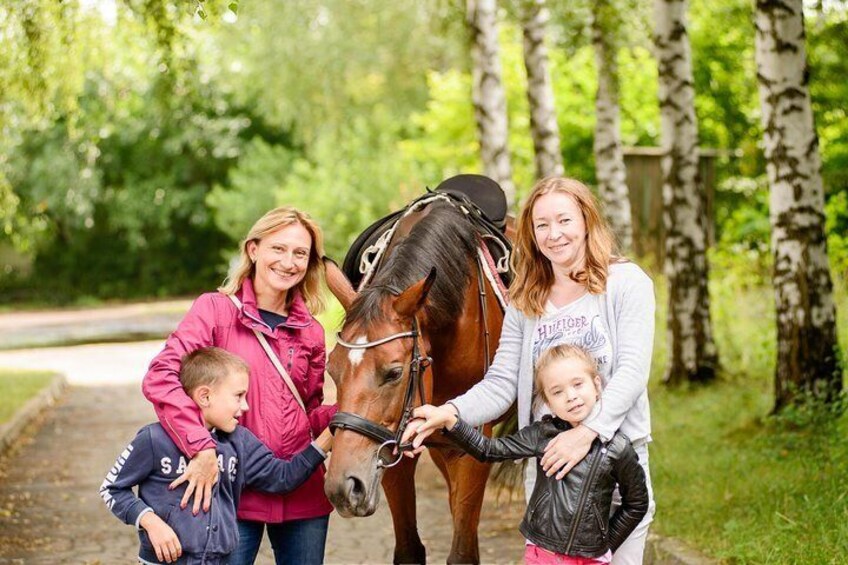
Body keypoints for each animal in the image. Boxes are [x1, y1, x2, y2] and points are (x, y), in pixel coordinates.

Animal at [322, 199, 504, 564]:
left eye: (394, 372)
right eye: (331, 369)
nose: (342, 487)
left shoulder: (474, 447)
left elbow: (462, 553)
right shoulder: (391, 446)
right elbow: (408, 549)